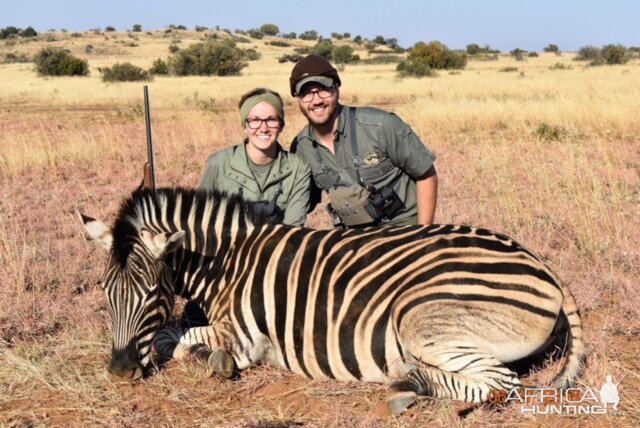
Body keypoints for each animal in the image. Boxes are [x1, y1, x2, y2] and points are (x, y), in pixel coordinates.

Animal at [79, 187, 584, 414]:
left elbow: (174, 337)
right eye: (105, 294)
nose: (120, 373)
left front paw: (210, 360)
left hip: (419, 318)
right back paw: (409, 380)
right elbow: (174, 335)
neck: (229, 262)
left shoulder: (242, 336)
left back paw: (409, 387)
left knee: (501, 383)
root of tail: (542, 265)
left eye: (152, 293)